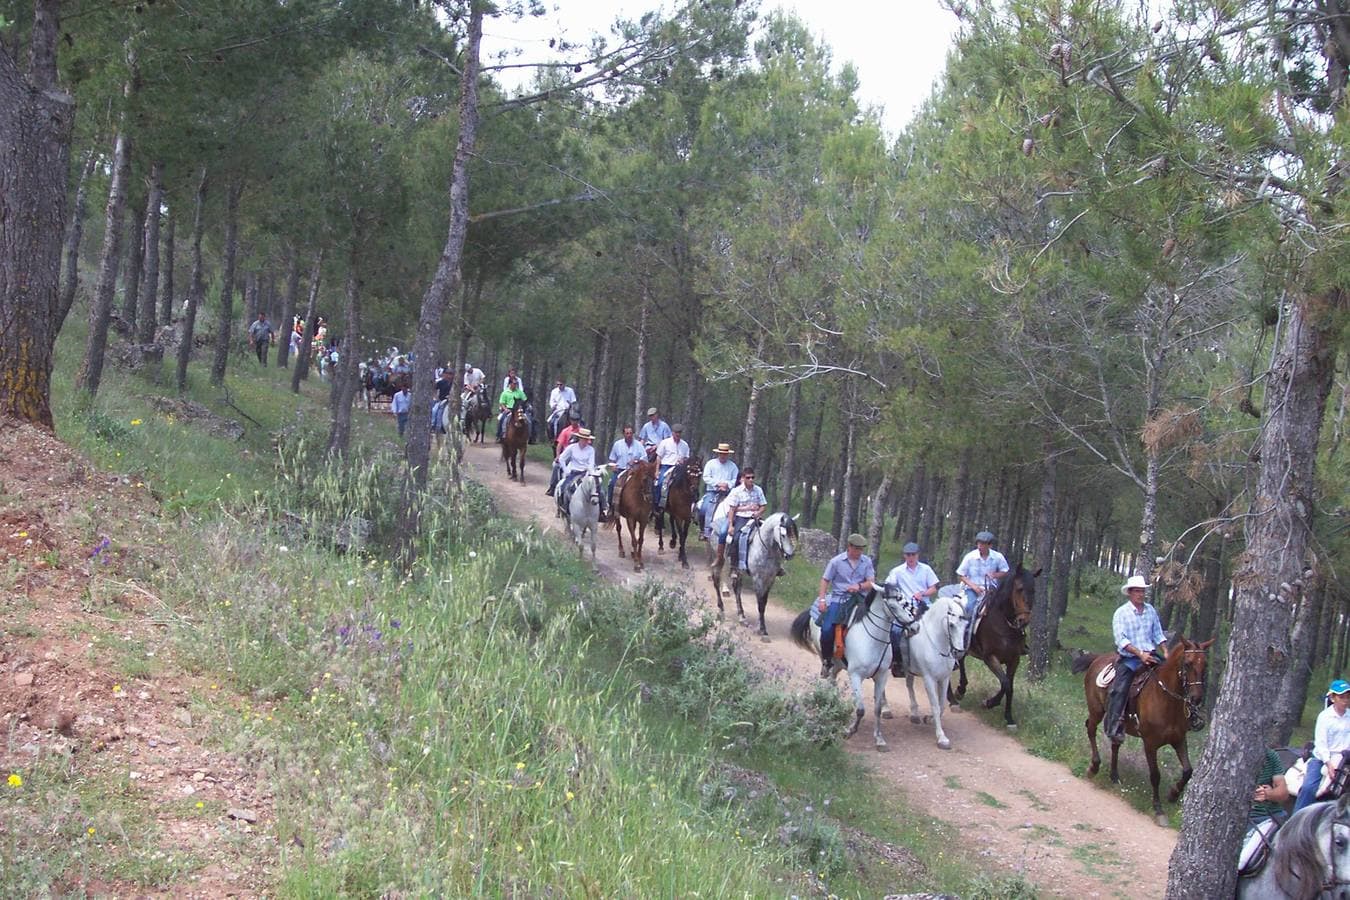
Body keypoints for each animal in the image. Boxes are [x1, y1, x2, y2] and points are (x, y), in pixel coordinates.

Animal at [788, 588, 923, 750]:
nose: (915, 627)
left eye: (906, 603)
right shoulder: (856, 675)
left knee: (833, 679)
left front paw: (879, 739)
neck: (871, 640)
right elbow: (860, 709)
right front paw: (850, 730)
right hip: (826, 658)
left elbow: (877, 709)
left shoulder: (881, 676)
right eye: (893, 606)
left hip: (838, 664)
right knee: (829, 677)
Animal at [896, 593, 972, 750]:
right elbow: (935, 705)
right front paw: (942, 738)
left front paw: (929, 719)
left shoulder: (944, 678)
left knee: (909, 685)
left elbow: (942, 703)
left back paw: (914, 714)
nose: (959, 652)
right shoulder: (929, 679)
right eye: (951, 625)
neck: (937, 644)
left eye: (966, 625)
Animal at [955, 566, 1036, 728]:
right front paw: (989, 703)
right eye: (1019, 588)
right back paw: (957, 692)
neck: (1004, 623)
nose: (1024, 620)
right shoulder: (990, 657)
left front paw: (1009, 718)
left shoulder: (1014, 660)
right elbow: (1005, 683)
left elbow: (1010, 687)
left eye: (1034, 590)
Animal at [1069, 634, 1220, 825]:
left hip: (1120, 725)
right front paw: (1158, 809)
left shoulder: (1179, 739)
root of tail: (1097, 658)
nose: (1196, 698)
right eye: (1187, 663)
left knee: (1115, 743)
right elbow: (1155, 775)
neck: (1166, 700)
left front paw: (1173, 794)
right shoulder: (1150, 743)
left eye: (1205, 664)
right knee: (1090, 729)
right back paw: (1093, 767)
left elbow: (1188, 771)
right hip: (1096, 710)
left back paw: (1114, 776)